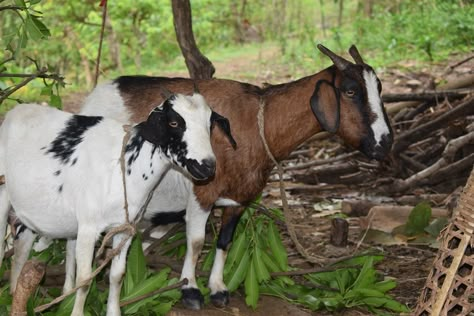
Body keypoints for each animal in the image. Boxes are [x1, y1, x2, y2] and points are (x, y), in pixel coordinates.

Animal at [81, 44, 392, 308]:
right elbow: (196, 241)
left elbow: (225, 241)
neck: (257, 125)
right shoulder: (202, 192)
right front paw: (190, 290)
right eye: (350, 91)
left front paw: (218, 288)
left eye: (378, 88)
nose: (385, 142)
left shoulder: (239, 198)